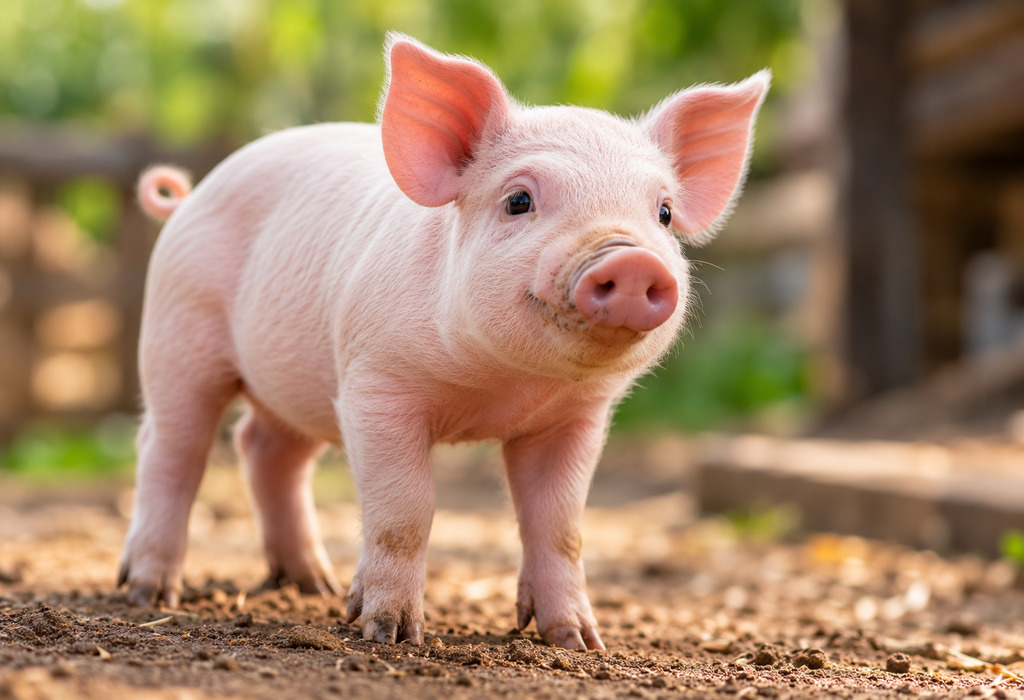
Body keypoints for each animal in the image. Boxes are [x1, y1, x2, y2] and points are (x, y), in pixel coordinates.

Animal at [121, 33, 769, 650]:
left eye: (663, 213)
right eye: (519, 200)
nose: (632, 260)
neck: (502, 387)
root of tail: (191, 196)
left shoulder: (575, 418)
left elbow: (562, 525)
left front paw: (581, 643)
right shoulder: (375, 386)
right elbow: (406, 510)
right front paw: (389, 634)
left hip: (299, 383)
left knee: (266, 449)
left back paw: (314, 585)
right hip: (177, 331)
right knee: (172, 448)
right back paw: (147, 592)